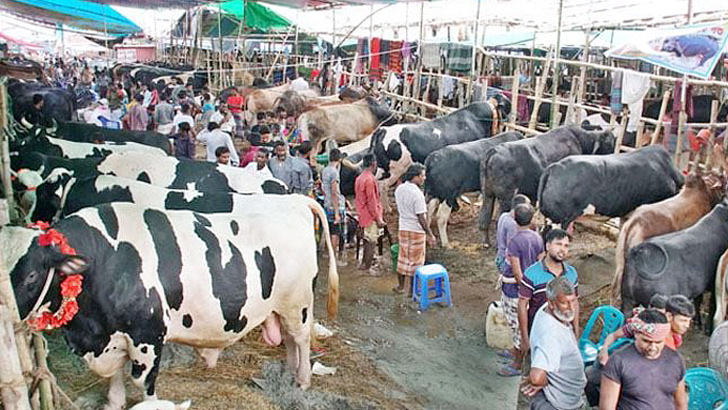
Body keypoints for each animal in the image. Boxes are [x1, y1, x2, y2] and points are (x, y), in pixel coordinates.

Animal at [4, 198, 340, 406]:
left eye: (32, 275)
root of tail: (293, 199)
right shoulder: (113, 336)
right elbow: (115, 382)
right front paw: (114, 401)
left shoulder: (148, 334)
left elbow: (144, 384)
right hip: (281, 306)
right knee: (290, 340)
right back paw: (289, 373)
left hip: (297, 303)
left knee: (300, 338)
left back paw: (302, 380)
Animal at [480, 125, 616, 245]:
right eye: (609, 144)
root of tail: (494, 151)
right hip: (505, 199)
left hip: (488, 193)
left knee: (484, 217)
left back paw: (486, 242)